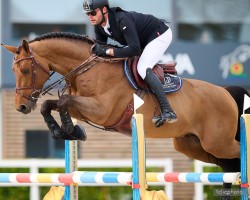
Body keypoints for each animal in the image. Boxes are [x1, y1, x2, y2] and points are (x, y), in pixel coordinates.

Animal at [1, 32, 250, 198]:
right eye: (13, 71)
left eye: (25, 70)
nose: (21, 107)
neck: (86, 69)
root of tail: (225, 92)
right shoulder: (83, 106)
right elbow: (50, 105)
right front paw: (66, 131)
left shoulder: (102, 110)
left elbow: (63, 101)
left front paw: (71, 130)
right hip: (192, 145)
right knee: (229, 166)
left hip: (218, 142)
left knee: (238, 156)